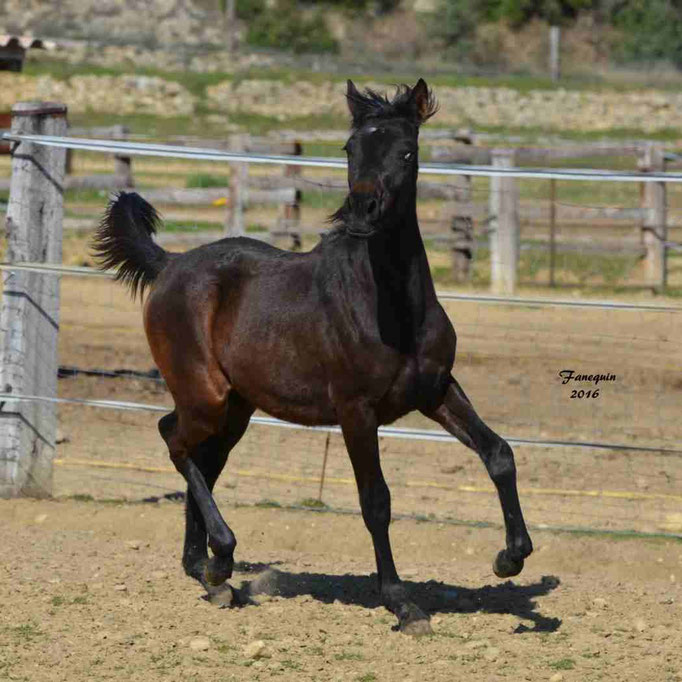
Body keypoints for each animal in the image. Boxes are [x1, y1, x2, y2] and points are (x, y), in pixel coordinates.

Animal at [93, 78, 532, 632]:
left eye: (407, 151)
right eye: (349, 148)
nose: (364, 209)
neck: (390, 306)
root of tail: (169, 264)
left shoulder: (435, 390)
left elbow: (499, 454)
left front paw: (510, 558)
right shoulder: (355, 410)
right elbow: (376, 501)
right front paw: (402, 602)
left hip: (236, 408)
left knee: (202, 461)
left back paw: (209, 572)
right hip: (205, 395)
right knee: (173, 440)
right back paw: (221, 556)